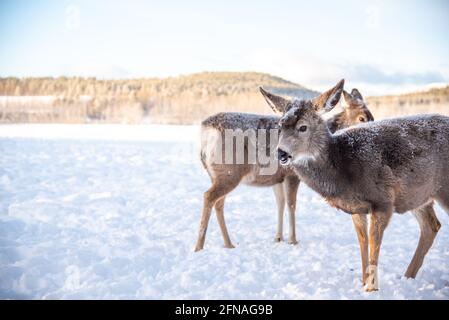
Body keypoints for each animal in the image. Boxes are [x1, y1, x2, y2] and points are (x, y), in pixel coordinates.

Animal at [194, 85, 372, 252]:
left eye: (371, 116)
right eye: (362, 118)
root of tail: (206, 130)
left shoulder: (277, 178)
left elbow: (280, 203)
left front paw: (278, 237)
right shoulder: (291, 174)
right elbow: (291, 204)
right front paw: (293, 240)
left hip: (218, 174)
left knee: (219, 202)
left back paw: (228, 243)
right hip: (229, 173)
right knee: (209, 196)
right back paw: (199, 247)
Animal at [260, 79, 448, 292]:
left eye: (303, 127)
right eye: (280, 126)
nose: (281, 153)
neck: (342, 167)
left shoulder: (383, 200)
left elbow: (374, 242)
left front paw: (372, 289)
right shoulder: (357, 208)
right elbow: (362, 241)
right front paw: (363, 281)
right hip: (418, 195)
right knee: (431, 226)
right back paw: (407, 277)